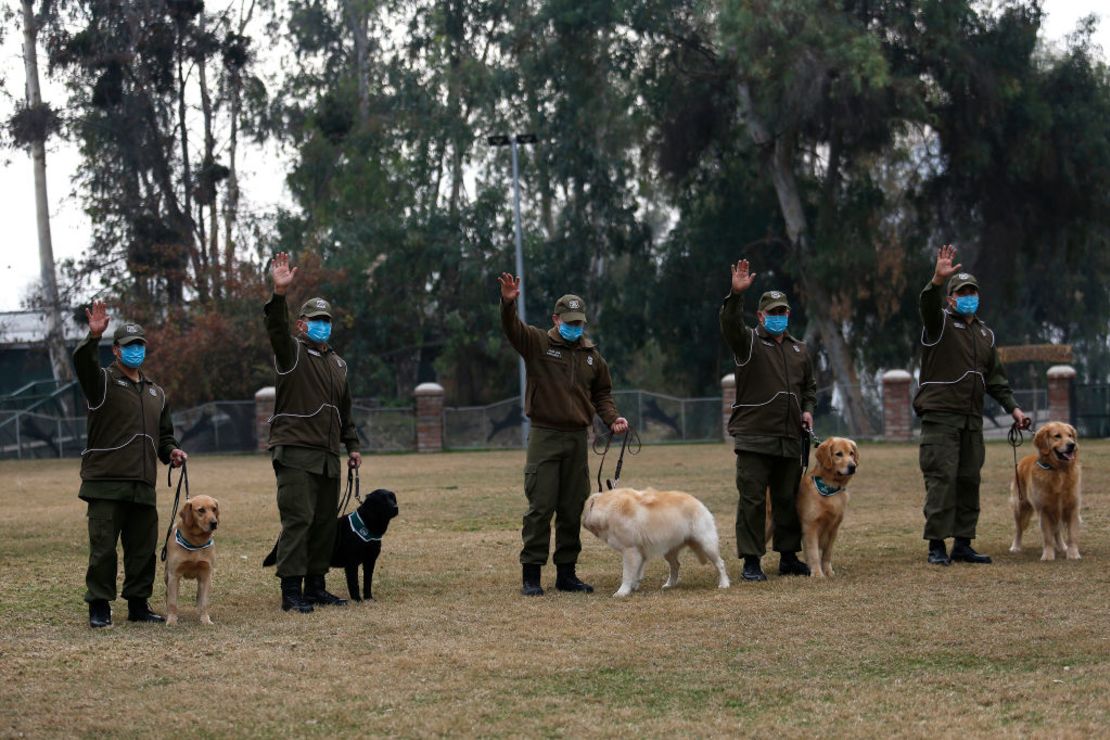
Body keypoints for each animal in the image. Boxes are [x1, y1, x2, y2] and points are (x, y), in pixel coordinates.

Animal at [259, 488, 399, 599]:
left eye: (393, 498)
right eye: (382, 500)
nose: (396, 508)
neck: (366, 524)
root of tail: (284, 530)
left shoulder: (370, 561)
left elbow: (367, 582)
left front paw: (369, 598)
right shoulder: (351, 563)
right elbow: (354, 583)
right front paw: (357, 600)